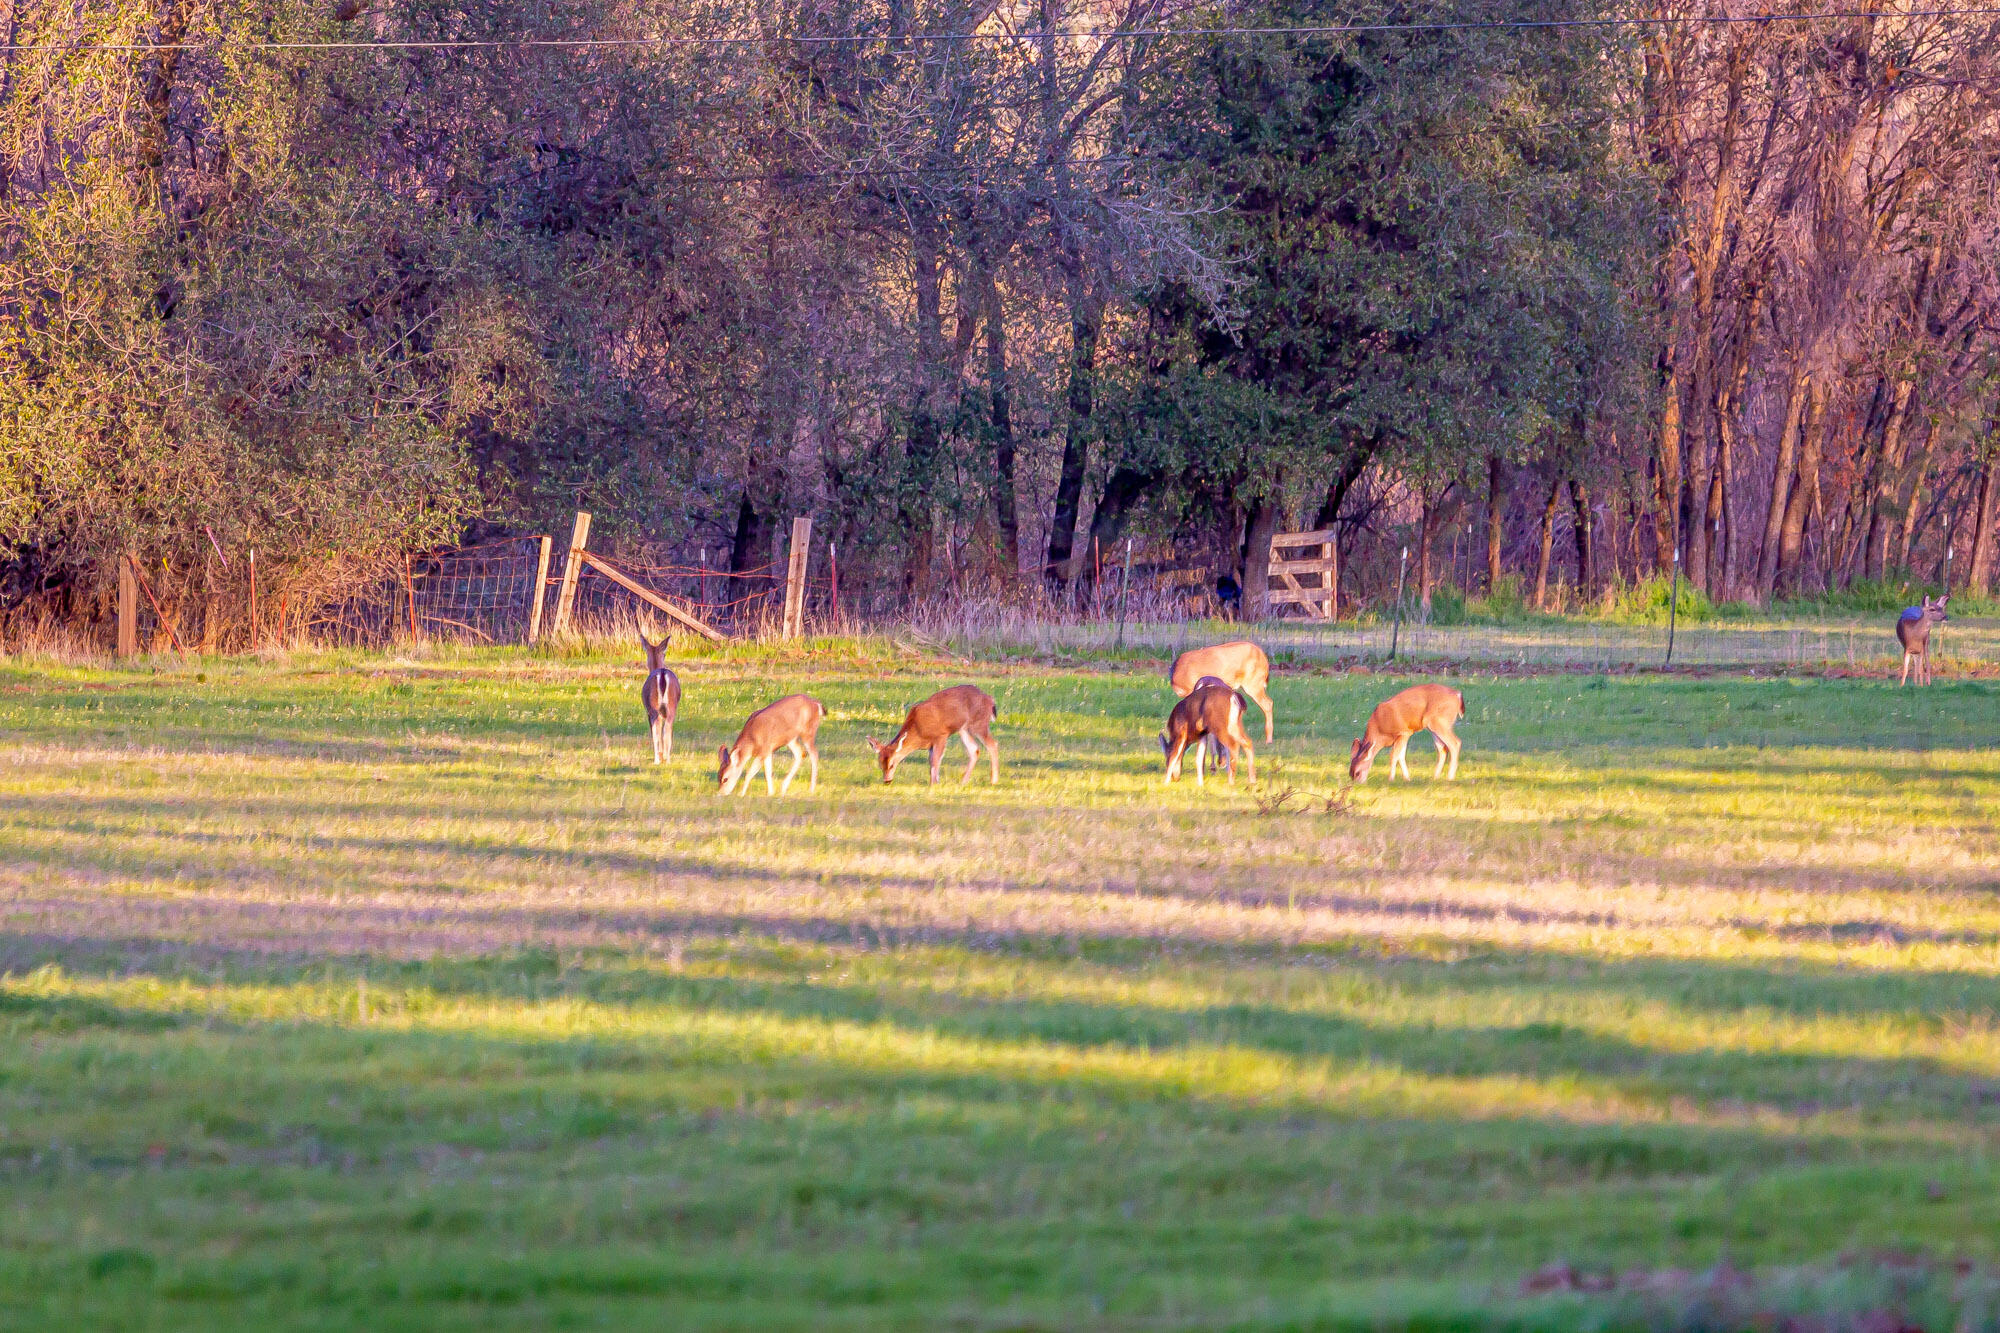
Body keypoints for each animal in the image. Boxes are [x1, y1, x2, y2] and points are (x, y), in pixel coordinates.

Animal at [639, 631, 681, 764]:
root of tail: (662, 673)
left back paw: (657, 759)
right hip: (671, 706)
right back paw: (667, 759)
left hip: (653, 708)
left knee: (657, 730)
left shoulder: (648, 710)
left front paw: (659, 756)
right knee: (667, 729)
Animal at [867, 685, 999, 784]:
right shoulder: (931, 744)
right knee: (974, 749)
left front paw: (934, 784)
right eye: (880, 765)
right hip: (963, 729)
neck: (919, 732)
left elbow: (936, 760)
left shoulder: (941, 735)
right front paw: (934, 781)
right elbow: (931, 761)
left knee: (993, 744)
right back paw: (963, 781)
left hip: (979, 724)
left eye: (892, 765)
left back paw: (993, 780)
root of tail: (990, 700)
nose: (887, 781)